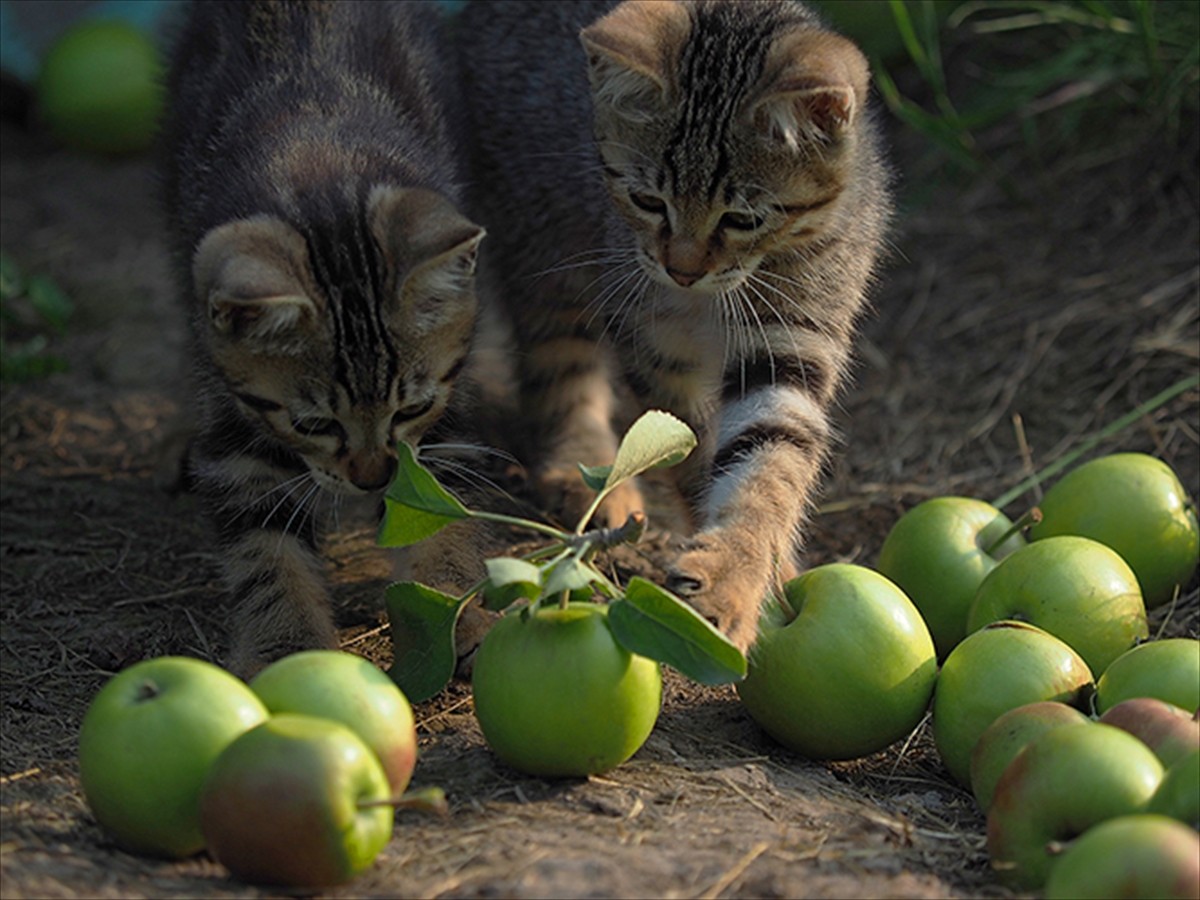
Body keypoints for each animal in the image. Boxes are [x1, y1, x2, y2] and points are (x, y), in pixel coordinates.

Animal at [162, 0, 484, 676]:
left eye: (410, 408)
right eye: (313, 424)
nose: (372, 478)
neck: (320, 158)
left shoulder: (444, 413)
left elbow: (438, 507)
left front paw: (456, 614)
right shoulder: (236, 435)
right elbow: (267, 556)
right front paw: (287, 648)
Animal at [458, 0, 892, 652]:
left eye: (743, 218)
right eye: (647, 201)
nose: (681, 269)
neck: (714, 300)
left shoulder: (794, 335)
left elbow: (771, 459)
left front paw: (741, 570)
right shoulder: (650, 336)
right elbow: (689, 448)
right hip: (541, 238)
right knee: (558, 358)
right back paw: (583, 467)